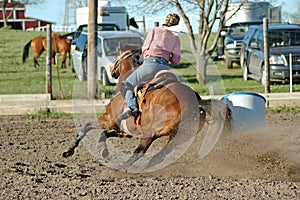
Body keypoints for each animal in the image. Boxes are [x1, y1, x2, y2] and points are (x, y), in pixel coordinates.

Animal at [62, 49, 232, 171]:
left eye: (117, 58)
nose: (111, 71)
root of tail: (196, 101)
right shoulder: (122, 131)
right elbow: (104, 135)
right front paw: (104, 151)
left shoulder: (109, 120)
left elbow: (87, 127)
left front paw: (69, 150)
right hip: (180, 136)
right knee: (161, 155)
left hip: (153, 132)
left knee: (141, 150)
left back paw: (123, 168)